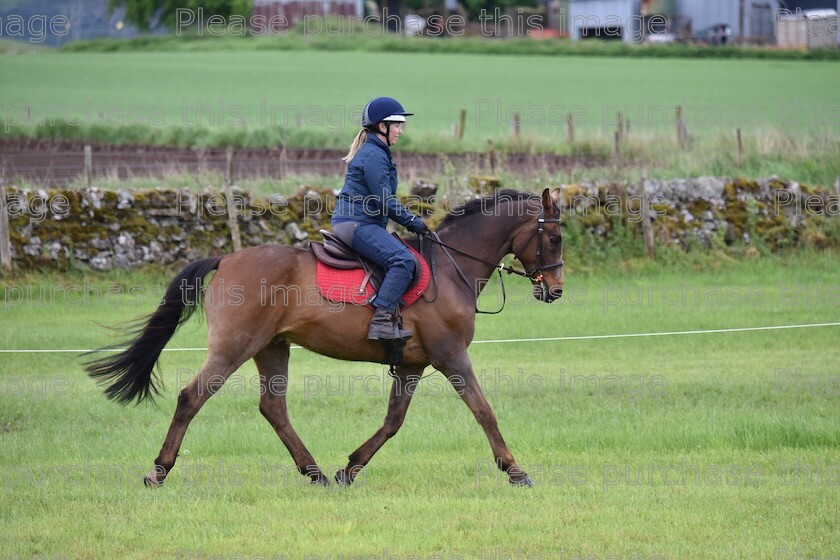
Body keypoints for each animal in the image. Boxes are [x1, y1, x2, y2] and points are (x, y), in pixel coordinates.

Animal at [87, 187, 564, 486]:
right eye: (556, 237)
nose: (556, 291)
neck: (450, 268)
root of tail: (225, 259)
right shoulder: (450, 357)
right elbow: (484, 411)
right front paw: (515, 470)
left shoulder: (411, 364)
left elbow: (393, 421)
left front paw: (350, 469)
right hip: (234, 346)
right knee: (192, 398)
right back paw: (159, 471)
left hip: (271, 348)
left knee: (273, 408)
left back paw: (314, 472)